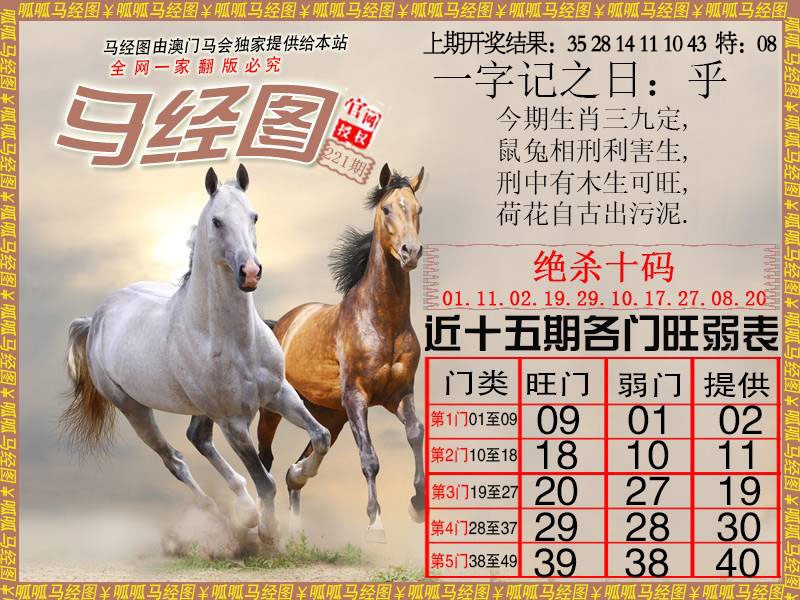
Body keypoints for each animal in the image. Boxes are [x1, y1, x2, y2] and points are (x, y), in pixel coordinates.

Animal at [63, 165, 331, 543]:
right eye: (217, 221)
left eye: (254, 216)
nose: (250, 272)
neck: (235, 341)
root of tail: (96, 317)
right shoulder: (233, 422)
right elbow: (265, 480)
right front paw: (268, 531)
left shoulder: (278, 393)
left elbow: (320, 437)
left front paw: (298, 474)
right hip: (134, 409)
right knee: (174, 459)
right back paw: (225, 516)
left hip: (200, 409)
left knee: (197, 438)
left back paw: (243, 509)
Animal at [256, 163, 425, 543]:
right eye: (386, 209)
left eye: (418, 209)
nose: (410, 252)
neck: (382, 321)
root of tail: (280, 324)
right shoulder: (357, 397)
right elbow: (370, 458)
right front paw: (376, 524)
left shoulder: (399, 395)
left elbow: (415, 434)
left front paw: (417, 505)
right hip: (275, 409)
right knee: (265, 458)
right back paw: (264, 524)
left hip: (329, 414)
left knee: (298, 466)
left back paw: (297, 510)